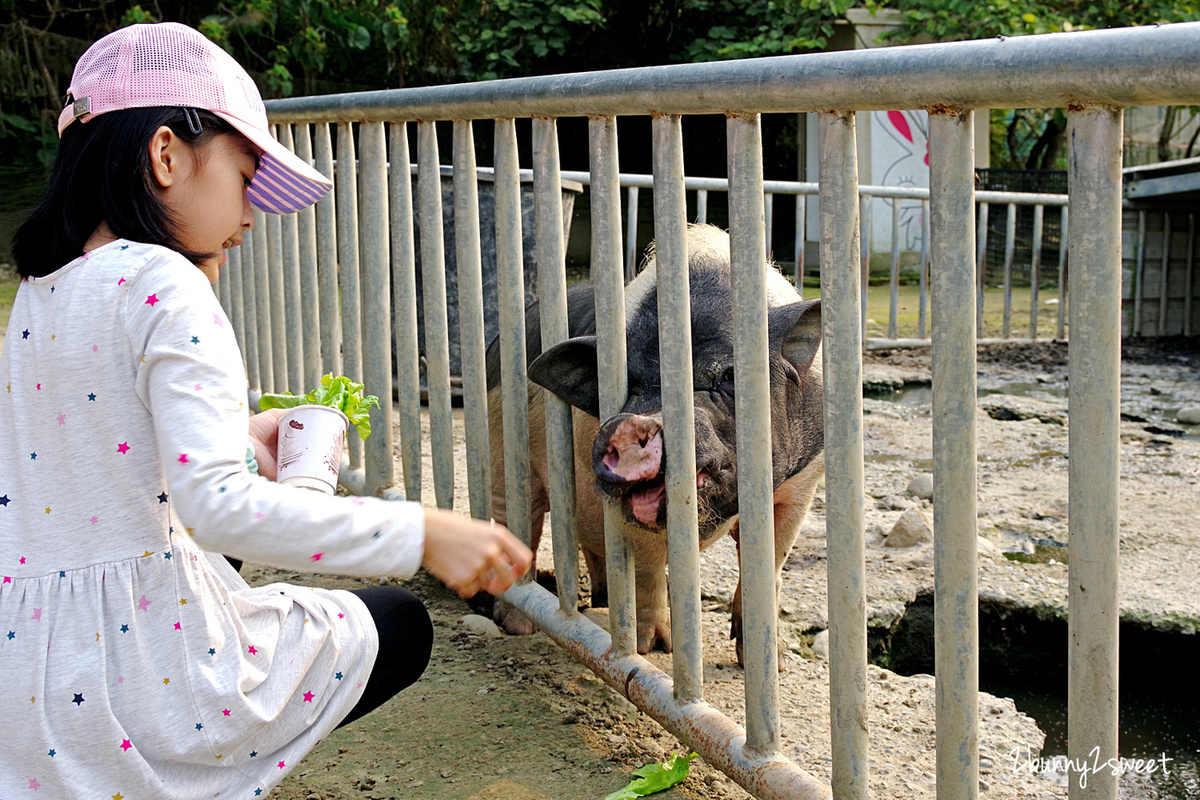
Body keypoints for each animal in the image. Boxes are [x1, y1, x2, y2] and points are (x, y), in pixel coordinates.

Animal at [487, 225, 825, 662]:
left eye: (730, 375)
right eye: (626, 384)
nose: (637, 423)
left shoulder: (802, 484)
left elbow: (772, 562)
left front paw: (773, 661)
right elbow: (647, 569)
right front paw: (653, 649)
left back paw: (600, 602)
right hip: (503, 453)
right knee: (517, 526)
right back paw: (518, 626)